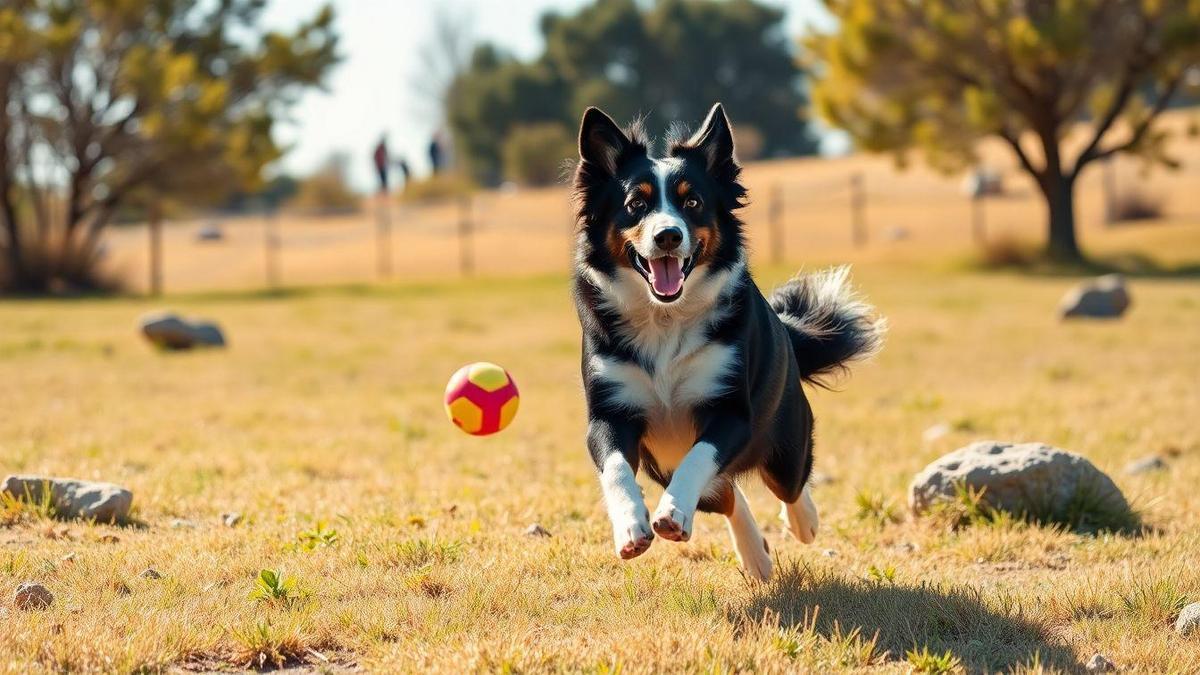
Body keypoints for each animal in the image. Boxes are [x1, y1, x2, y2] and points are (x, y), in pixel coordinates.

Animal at [566, 103, 888, 578]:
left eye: (692, 202)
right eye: (636, 204)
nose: (668, 235)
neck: (665, 318)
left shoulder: (732, 410)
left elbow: (701, 457)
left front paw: (671, 513)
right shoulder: (610, 414)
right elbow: (617, 469)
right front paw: (631, 528)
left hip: (786, 439)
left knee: (789, 483)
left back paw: (803, 523)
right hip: (662, 463)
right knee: (727, 494)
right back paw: (756, 555)